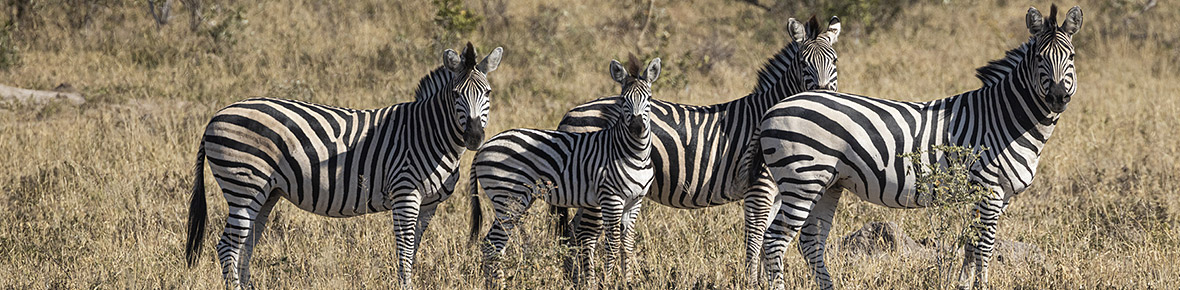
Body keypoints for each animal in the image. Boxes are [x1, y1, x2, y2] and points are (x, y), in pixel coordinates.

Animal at [184, 41, 502, 288]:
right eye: (456, 94)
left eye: (487, 93)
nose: (474, 137)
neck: (428, 133)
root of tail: (216, 115)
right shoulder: (405, 194)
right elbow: (404, 252)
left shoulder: (428, 204)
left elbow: (413, 251)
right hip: (243, 186)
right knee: (227, 246)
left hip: (265, 193)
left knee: (245, 245)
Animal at [464, 56, 660, 287]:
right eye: (622, 101)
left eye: (649, 99)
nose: (637, 128)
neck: (634, 154)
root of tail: (484, 146)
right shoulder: (611, 199)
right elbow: (612, 245)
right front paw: (606, 282)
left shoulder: (635, 201)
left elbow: (627, 245)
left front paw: (627, 282)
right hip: (508, 199)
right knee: (491, 245)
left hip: (517, 200)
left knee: (494, 246)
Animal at [545, 14, 840, 281]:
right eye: (803, 63)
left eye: (834, 60)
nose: (823, 93)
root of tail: (571, 112)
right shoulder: (758, 188)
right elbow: (756, 238)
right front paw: (751, 282)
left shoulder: (777, 192)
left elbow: (768, 240)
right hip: (597, 186)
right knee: (585, 234)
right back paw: (587, 280)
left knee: (573, 232)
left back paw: (573, 278)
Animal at [750, 5, 1080, 290]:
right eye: (1040, 57)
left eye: (1072, 56)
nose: (1058, 97)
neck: (1003, 118)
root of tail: (772, 109)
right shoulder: (989, 189)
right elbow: (984, 247)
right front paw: (982, 286)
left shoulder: (996, 195)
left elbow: (971, 246)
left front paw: (963, 285)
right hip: (802, 180)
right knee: (774, 241)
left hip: (827, 184)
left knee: (810, 241)